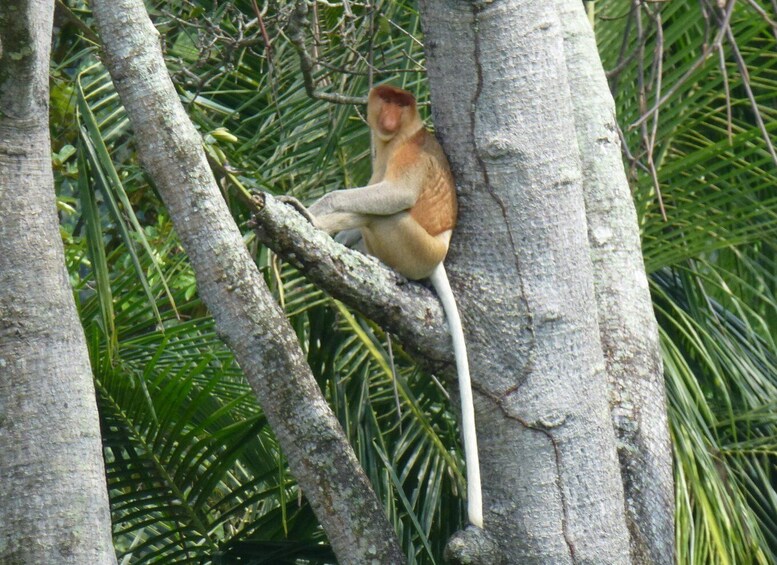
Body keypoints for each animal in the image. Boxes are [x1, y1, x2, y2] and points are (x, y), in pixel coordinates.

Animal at [303, 84, 483, 529]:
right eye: (386, 100)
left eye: (402, 104)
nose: (388, 116)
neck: (396, 137)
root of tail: (438, 256)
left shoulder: (408, 154)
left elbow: (395, 194)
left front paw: (314, 209)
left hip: (411, 245)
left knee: (381, 215)